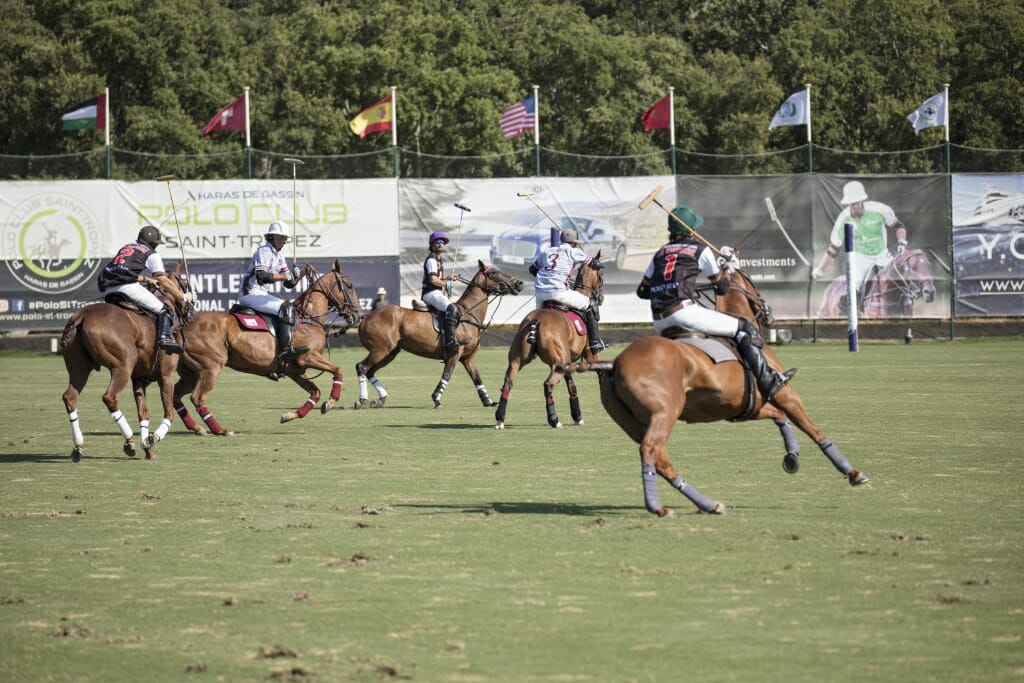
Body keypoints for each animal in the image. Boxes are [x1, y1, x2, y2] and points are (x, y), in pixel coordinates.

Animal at [60, 270, 193, 462]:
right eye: (184, 284)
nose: (191, 310)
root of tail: (81, 317)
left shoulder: (138, 379)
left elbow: (143, 414)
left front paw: (148, 449)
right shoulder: (166, 376)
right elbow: (169, 413)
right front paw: (153, 439)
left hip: (79, 369)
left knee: (70, 397)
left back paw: (78, 447)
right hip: (123, 366)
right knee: (110, 397)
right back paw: (129, 442)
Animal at [176, 259, 364, 436]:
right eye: (349, 285)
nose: (358, 316)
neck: (309, 317)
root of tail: (183, 327)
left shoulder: (295, 370)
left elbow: (315, 393)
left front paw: (288, 416)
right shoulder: (308, 357)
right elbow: (338, 370)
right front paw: (330, 402)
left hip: (192, 372)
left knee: (176, 395)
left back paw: (197, 428)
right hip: (211, 367)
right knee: (197, 397)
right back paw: (220, 430)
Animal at [356, 260, 524, 411]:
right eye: (494, 272)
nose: (519, 283)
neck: (468, 313)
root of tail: (365, 318)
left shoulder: (468, 357)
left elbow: (477, 378)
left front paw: (488, 401)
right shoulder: (455, 352)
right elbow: (447, 375)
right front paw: (436, 399)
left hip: (390, 352)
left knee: (370, 370)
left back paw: (380, 399)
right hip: (380, 349)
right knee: (362, 367)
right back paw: (362, 400)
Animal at [491, 253, 602, 430]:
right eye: (601, 274)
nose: (601, 297)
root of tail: (536, 320)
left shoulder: (565, 361)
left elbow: (571, 385)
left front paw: (577, 416)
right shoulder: (589, 354)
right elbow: (599, 374)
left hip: (519, 359)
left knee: (508, 383)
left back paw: (500, 419)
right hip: (558, 363)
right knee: (548, 385)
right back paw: (554, 420)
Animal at [573, 266, 868, 518]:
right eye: (751, 281)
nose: (769, 310)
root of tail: (615, 363)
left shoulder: (745, 405)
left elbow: (779, 417)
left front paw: (792, 457)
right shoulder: (785, 393)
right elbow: (813, 429)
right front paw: (853, 472)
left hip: (636, 423)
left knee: (661, 461)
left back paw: (707, 504)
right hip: (665, 413)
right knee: (650, 451)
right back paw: (658, 507)